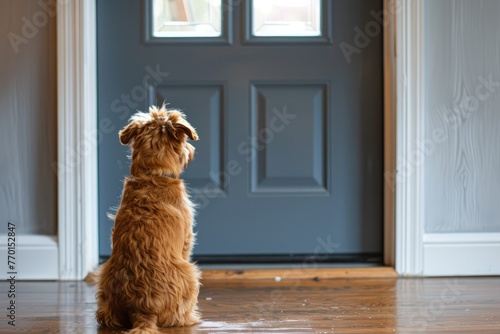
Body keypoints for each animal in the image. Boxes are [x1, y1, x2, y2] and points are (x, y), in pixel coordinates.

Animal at [96, 105, 201, 332]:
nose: (192, 150)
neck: (152, 175)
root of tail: (142, 311)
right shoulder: (187, 240)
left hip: (104, 277)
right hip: (190, 274)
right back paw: (192, 317)